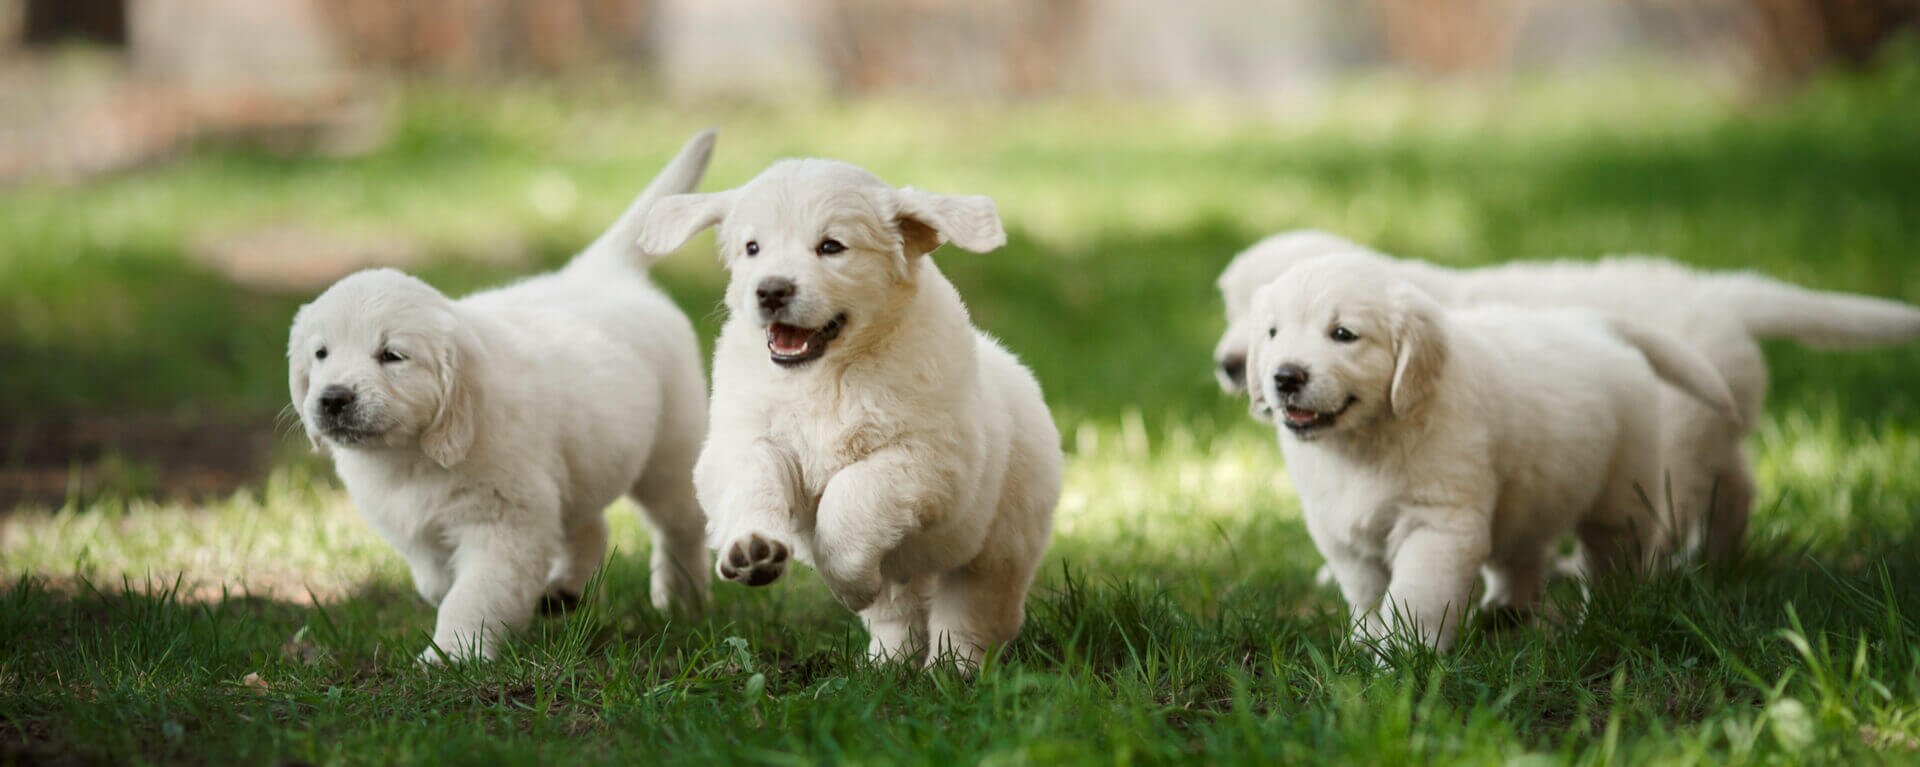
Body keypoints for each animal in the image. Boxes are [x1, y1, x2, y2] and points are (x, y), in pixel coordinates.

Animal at [291, 128, 721, 665]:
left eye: (391, 355)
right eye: (321, 354)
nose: (332, 399)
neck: (411, 455)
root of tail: (601, 273)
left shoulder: (504, 522)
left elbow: (473, 594)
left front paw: (452, 656)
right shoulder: (418, 525)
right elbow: (436, 579)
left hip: (670, 452)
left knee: (680, 527)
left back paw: (683, 600)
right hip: (582, 459)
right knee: (590, 525)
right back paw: (565, 591)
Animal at [641, 159, 1067, 668]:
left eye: (831, 247)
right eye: (752, 247)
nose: (771, 290)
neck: (829, 373)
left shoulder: (930, 459)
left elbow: (852, 494)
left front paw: (847, 582)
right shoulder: (745, 438)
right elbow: (753, 481)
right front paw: (752, 550)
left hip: (997, 545)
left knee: (972, 612)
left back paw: (951, 669)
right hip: (913, 575)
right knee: (896, 613)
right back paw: (886, 663)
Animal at [1213, 231, 1920, 561]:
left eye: (1337, 332)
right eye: (1232, 308)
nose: (1229, 366)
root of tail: (1721, 294)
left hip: (1673, 434)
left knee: (1676, 503)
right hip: (1711, 424)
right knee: (1737, 486)